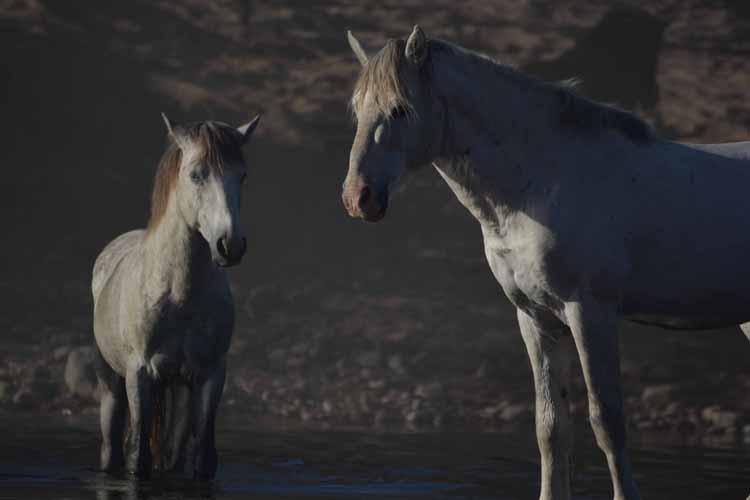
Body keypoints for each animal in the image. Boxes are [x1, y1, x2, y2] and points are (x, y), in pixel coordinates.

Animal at [90, 114, 260, 480]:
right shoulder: (140, 375)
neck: (178, 294)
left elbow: (202, 457)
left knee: (174, 452)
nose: (230, 245)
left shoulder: (211, 375)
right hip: (112, 383)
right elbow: (138, 456)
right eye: (196, 174)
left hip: (180, 387)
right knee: (112, 445)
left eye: (242, 175)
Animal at [344, 27, 750, 500]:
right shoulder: (535, 317)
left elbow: (606, 422)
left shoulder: (590, 313)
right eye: (358, 111)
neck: (541, 183)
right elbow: (550, 426)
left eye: (400, 109)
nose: (358, 197)